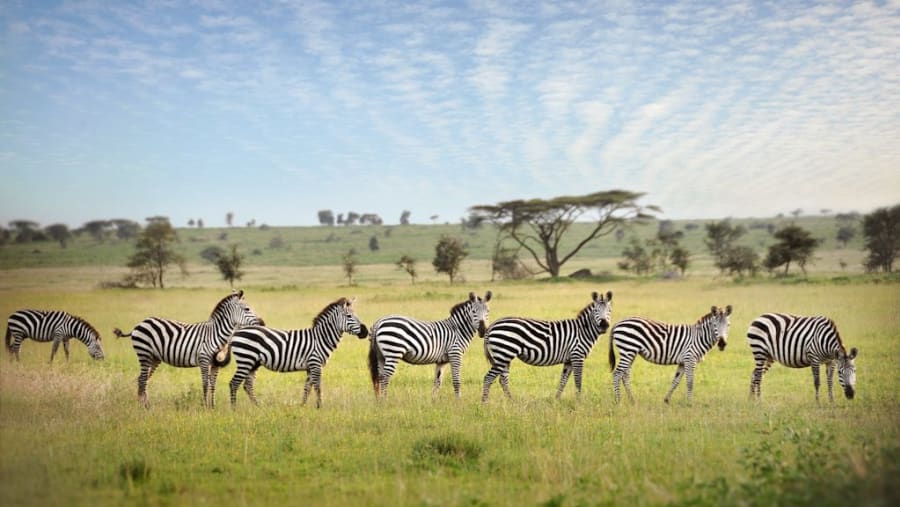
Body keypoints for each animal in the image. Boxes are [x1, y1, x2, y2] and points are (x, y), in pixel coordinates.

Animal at [113, 289, 263, 407]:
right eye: (247, 309)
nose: (262, 323)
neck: (215, 334)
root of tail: (139, 324)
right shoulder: (204, 360)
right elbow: (205, 384)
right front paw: (205, 407)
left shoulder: (216, 364)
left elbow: (213, 385)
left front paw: (213, 407)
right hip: (144, 353)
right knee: (143, 379)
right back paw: (144, 406)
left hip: (154, 358)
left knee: (142, 379)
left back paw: (145, 405)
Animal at [218, 297, 368, 409]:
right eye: (349, 316)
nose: (365, 332)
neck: (320, 338)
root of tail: (236, 332)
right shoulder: (316, 364)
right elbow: (318, 387)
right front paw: (320, 407)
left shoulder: (310, 367)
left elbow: (307, 388)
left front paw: (303, 406)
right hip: (246, 359)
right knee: (234, 383)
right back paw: (234, 409)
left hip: (253, 363)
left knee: (247, 385)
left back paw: (258, 406)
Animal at [481, 291, 613, 403]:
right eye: (595, 310)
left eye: (609, 310)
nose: (604, 325)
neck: (583, 330)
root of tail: (492, 325)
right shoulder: (577, 356)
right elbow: (578, 380)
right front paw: (579, 401)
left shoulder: (569, 360)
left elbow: (563, 380)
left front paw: (557, 399)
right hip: (504, 354)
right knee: (488, 378)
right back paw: (484, 403)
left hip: (504, 357)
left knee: (502, 379)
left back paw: (511, 401)